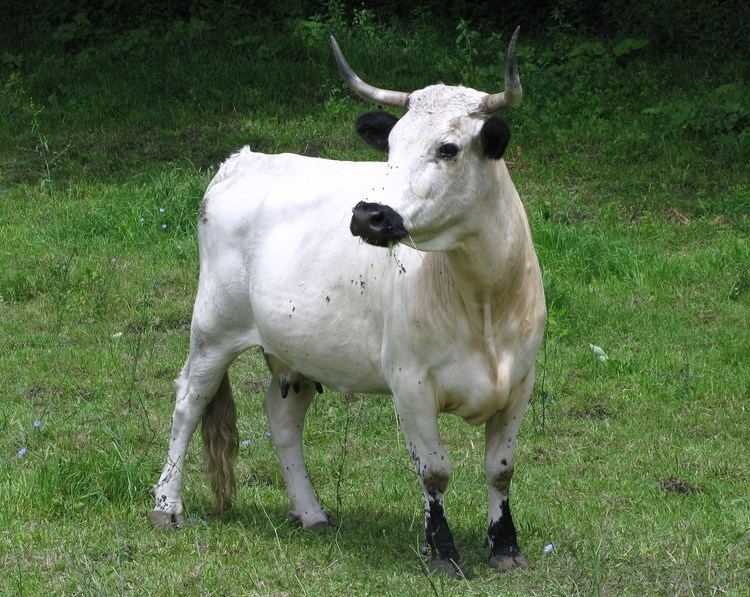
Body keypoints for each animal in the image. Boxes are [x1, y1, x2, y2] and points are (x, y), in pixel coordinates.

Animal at [151, 29, 548, 576]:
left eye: (448, 148)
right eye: (391, 146)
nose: (369, 215)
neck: (483, 300)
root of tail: (245, 158)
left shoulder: (520, 381)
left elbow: (501, 469)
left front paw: (506, 546)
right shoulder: (410, 382)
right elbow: (435, 472)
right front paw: (443, 551)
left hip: (294, 350)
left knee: (282, 419)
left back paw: (311, 512)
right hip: (213, 328)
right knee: (189, 400)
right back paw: (167, 505)